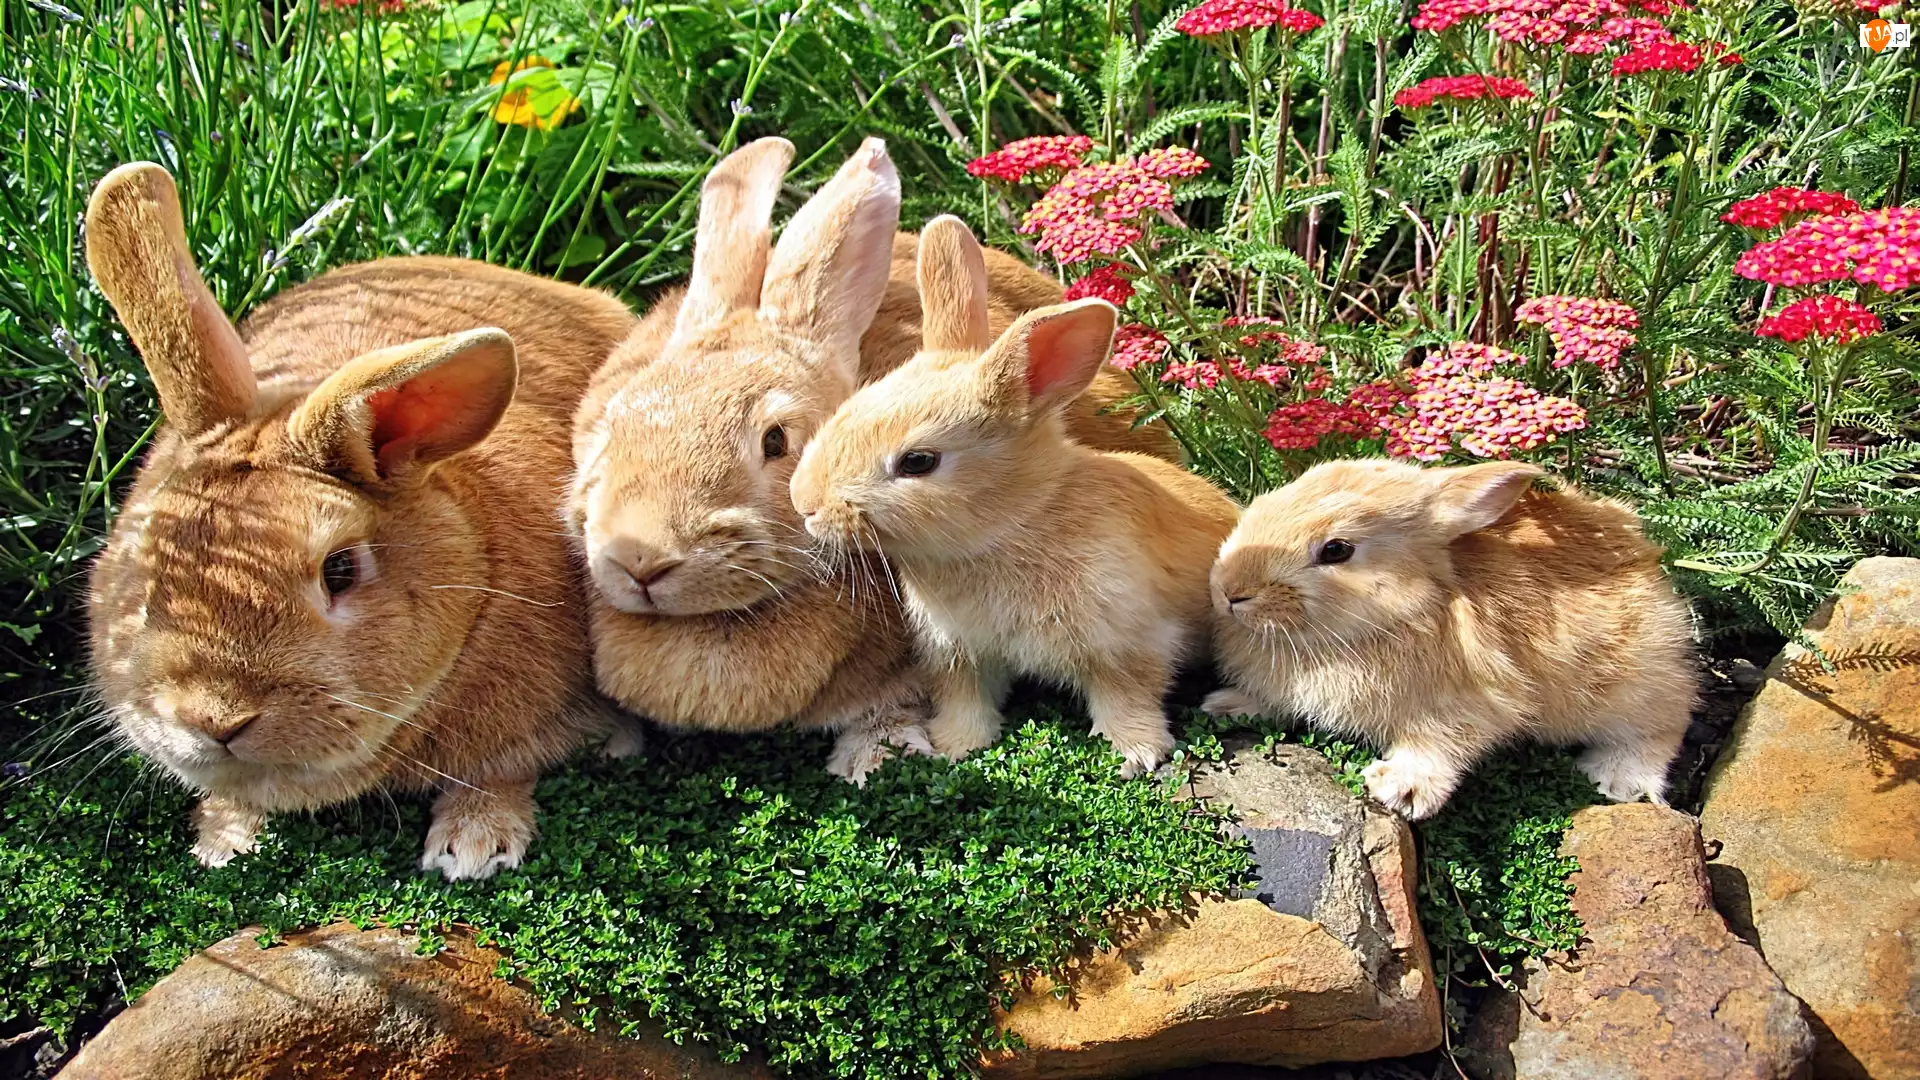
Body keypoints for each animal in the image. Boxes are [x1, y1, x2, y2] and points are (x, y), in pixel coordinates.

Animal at [83, 162, 638, 880]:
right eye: (148, 562)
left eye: (340, 570)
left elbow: (500, 772)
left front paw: (473, 848)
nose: (216, 719)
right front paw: (223, 843)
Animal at [789, 215, 1242, 778]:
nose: (805, 504)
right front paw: (955, 745)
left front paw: (1134, 754)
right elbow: (966, 700)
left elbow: (1127, 696)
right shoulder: (961, 653)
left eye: (918, 462)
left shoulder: (1128, 641)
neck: (1012, 526)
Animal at [1203, 457, 1698, 820]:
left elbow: (1437, 746)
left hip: (1629, 682)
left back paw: (1618, 780)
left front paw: (1400, 791)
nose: (1229, 591)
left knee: (1667, 718)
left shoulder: (1467, 703)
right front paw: (1227, 706)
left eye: (1336, 550)